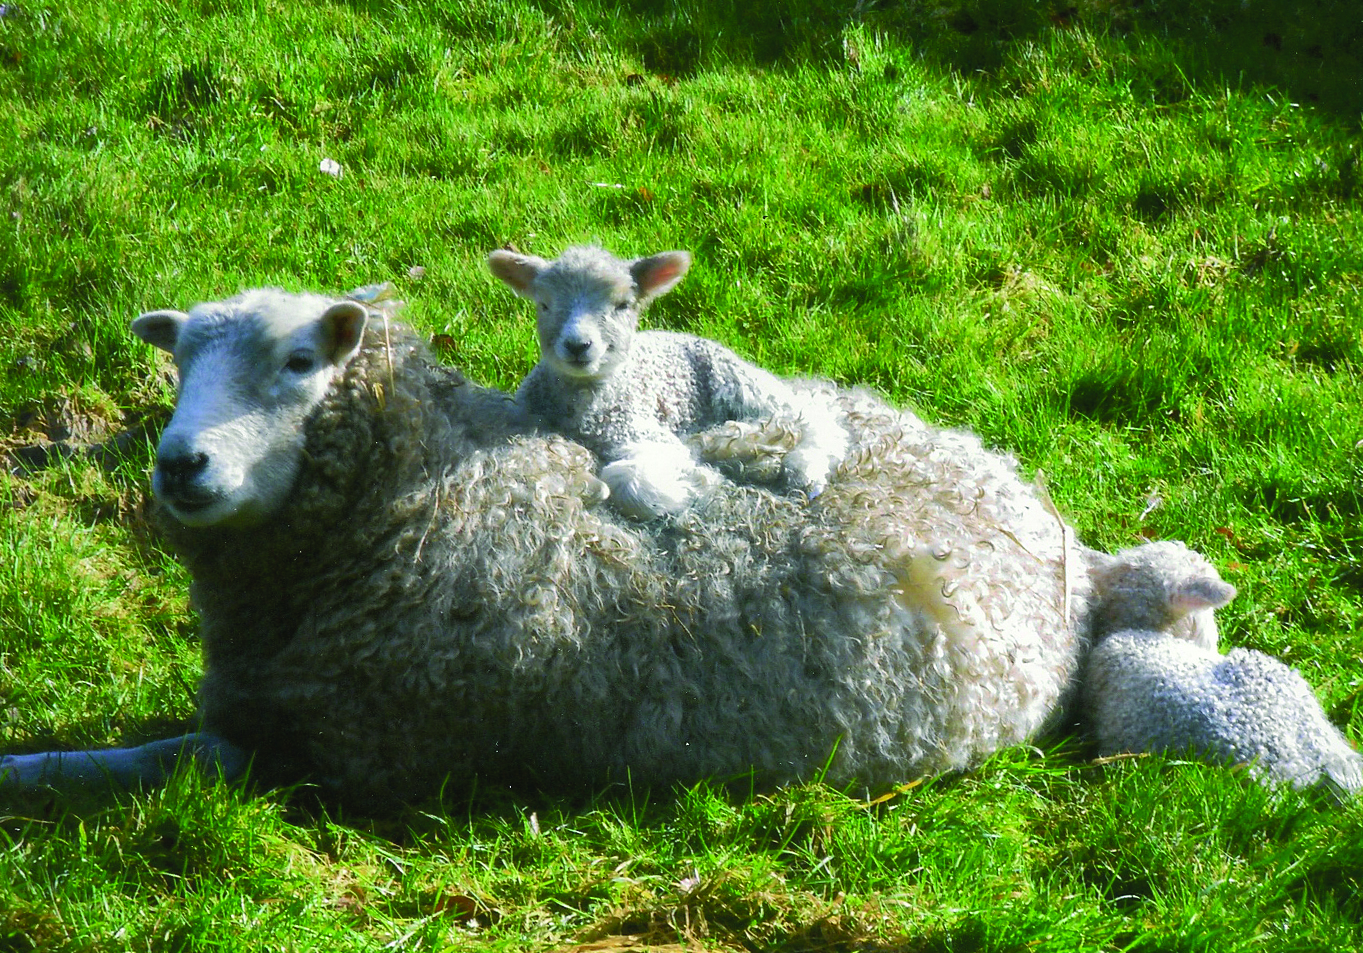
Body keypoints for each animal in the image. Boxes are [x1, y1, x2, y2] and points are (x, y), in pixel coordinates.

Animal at [1, 287, 1091, 805]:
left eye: (301, 360)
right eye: (179, 362)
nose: (180, 464)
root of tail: (1043, 520)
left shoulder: (343, 756)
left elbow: (156, 759)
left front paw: (35, 776)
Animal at [488, 245, 849, 520]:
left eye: (623, 305)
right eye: (544, 304)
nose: (578, 346)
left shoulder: (648, 434)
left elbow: (622, 478)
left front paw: (689, 487)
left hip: (739, 381)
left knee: (815, 416)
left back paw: (805, 468)